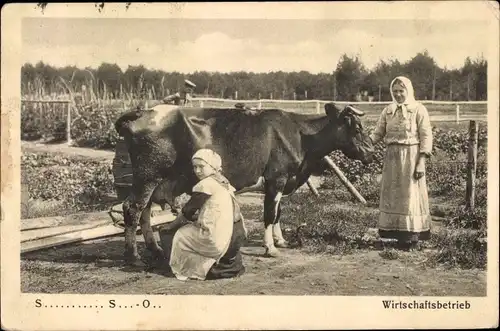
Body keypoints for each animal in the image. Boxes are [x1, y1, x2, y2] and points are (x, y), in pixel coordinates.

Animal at [115, 104, 376, 268]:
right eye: (357, 128)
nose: (373, 153)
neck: (301, 136)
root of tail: (144, 111)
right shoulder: (276, 178)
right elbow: (270, 214)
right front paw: (270, 247)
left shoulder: (281, 181)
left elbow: (278, 213)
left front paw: (281, 240)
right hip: (148, 175)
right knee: (133, 208)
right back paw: (134, 256)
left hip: (153, 180)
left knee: (145, 210)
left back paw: (155, 249)